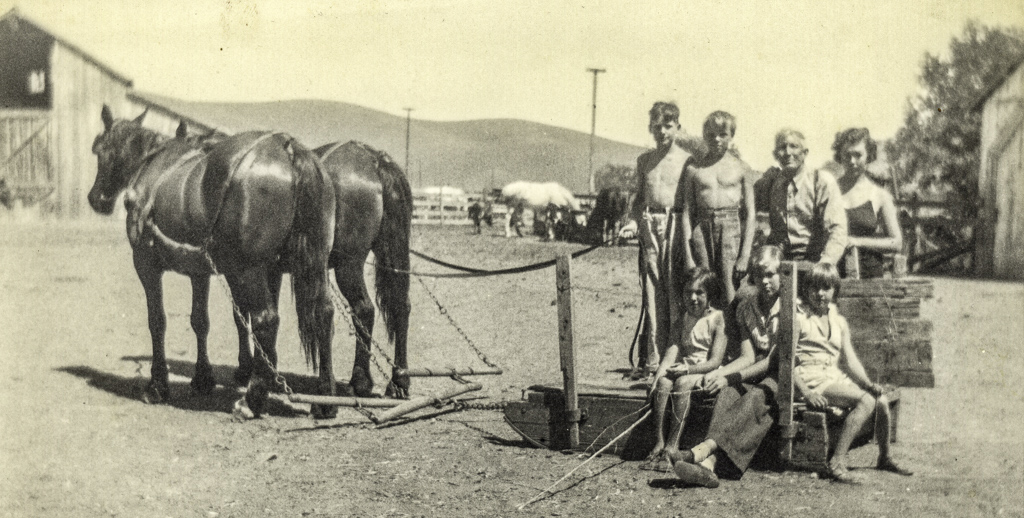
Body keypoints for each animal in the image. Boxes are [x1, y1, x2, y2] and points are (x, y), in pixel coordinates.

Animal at [87, 105, 335, 417]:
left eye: (99, 150)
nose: (96, 199)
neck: (152, 165)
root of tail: (288, 150)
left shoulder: (146, 264)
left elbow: (157, 321)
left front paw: (157, 385)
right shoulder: (200, 271)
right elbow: (199, 321)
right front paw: (203, 378)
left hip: (249, 270)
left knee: (266, 319)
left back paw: (252, 399)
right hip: (310, 264)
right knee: (323, 314)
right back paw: (324, 398)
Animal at [311, 139, 411, 399]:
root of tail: (375, 160)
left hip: (349, 265)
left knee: (364, 309)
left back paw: (360, 381)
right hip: (391, 254)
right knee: (400, 306)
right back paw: (398, 381)